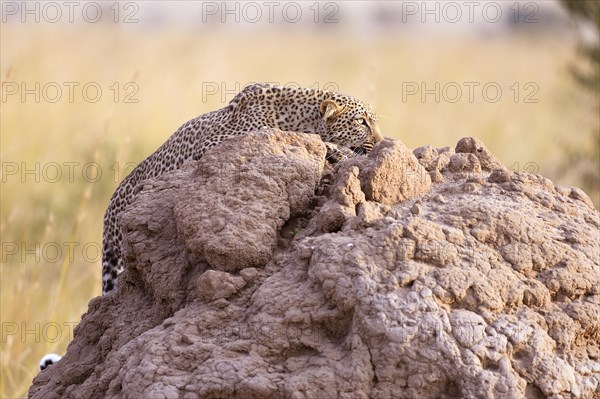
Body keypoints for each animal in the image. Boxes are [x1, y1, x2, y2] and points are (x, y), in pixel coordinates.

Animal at [101, 82, 382, 294]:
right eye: (361, 121)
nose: (380, 140)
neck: (300, 118)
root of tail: (108, 212)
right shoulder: (212, 144)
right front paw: (336, 149)